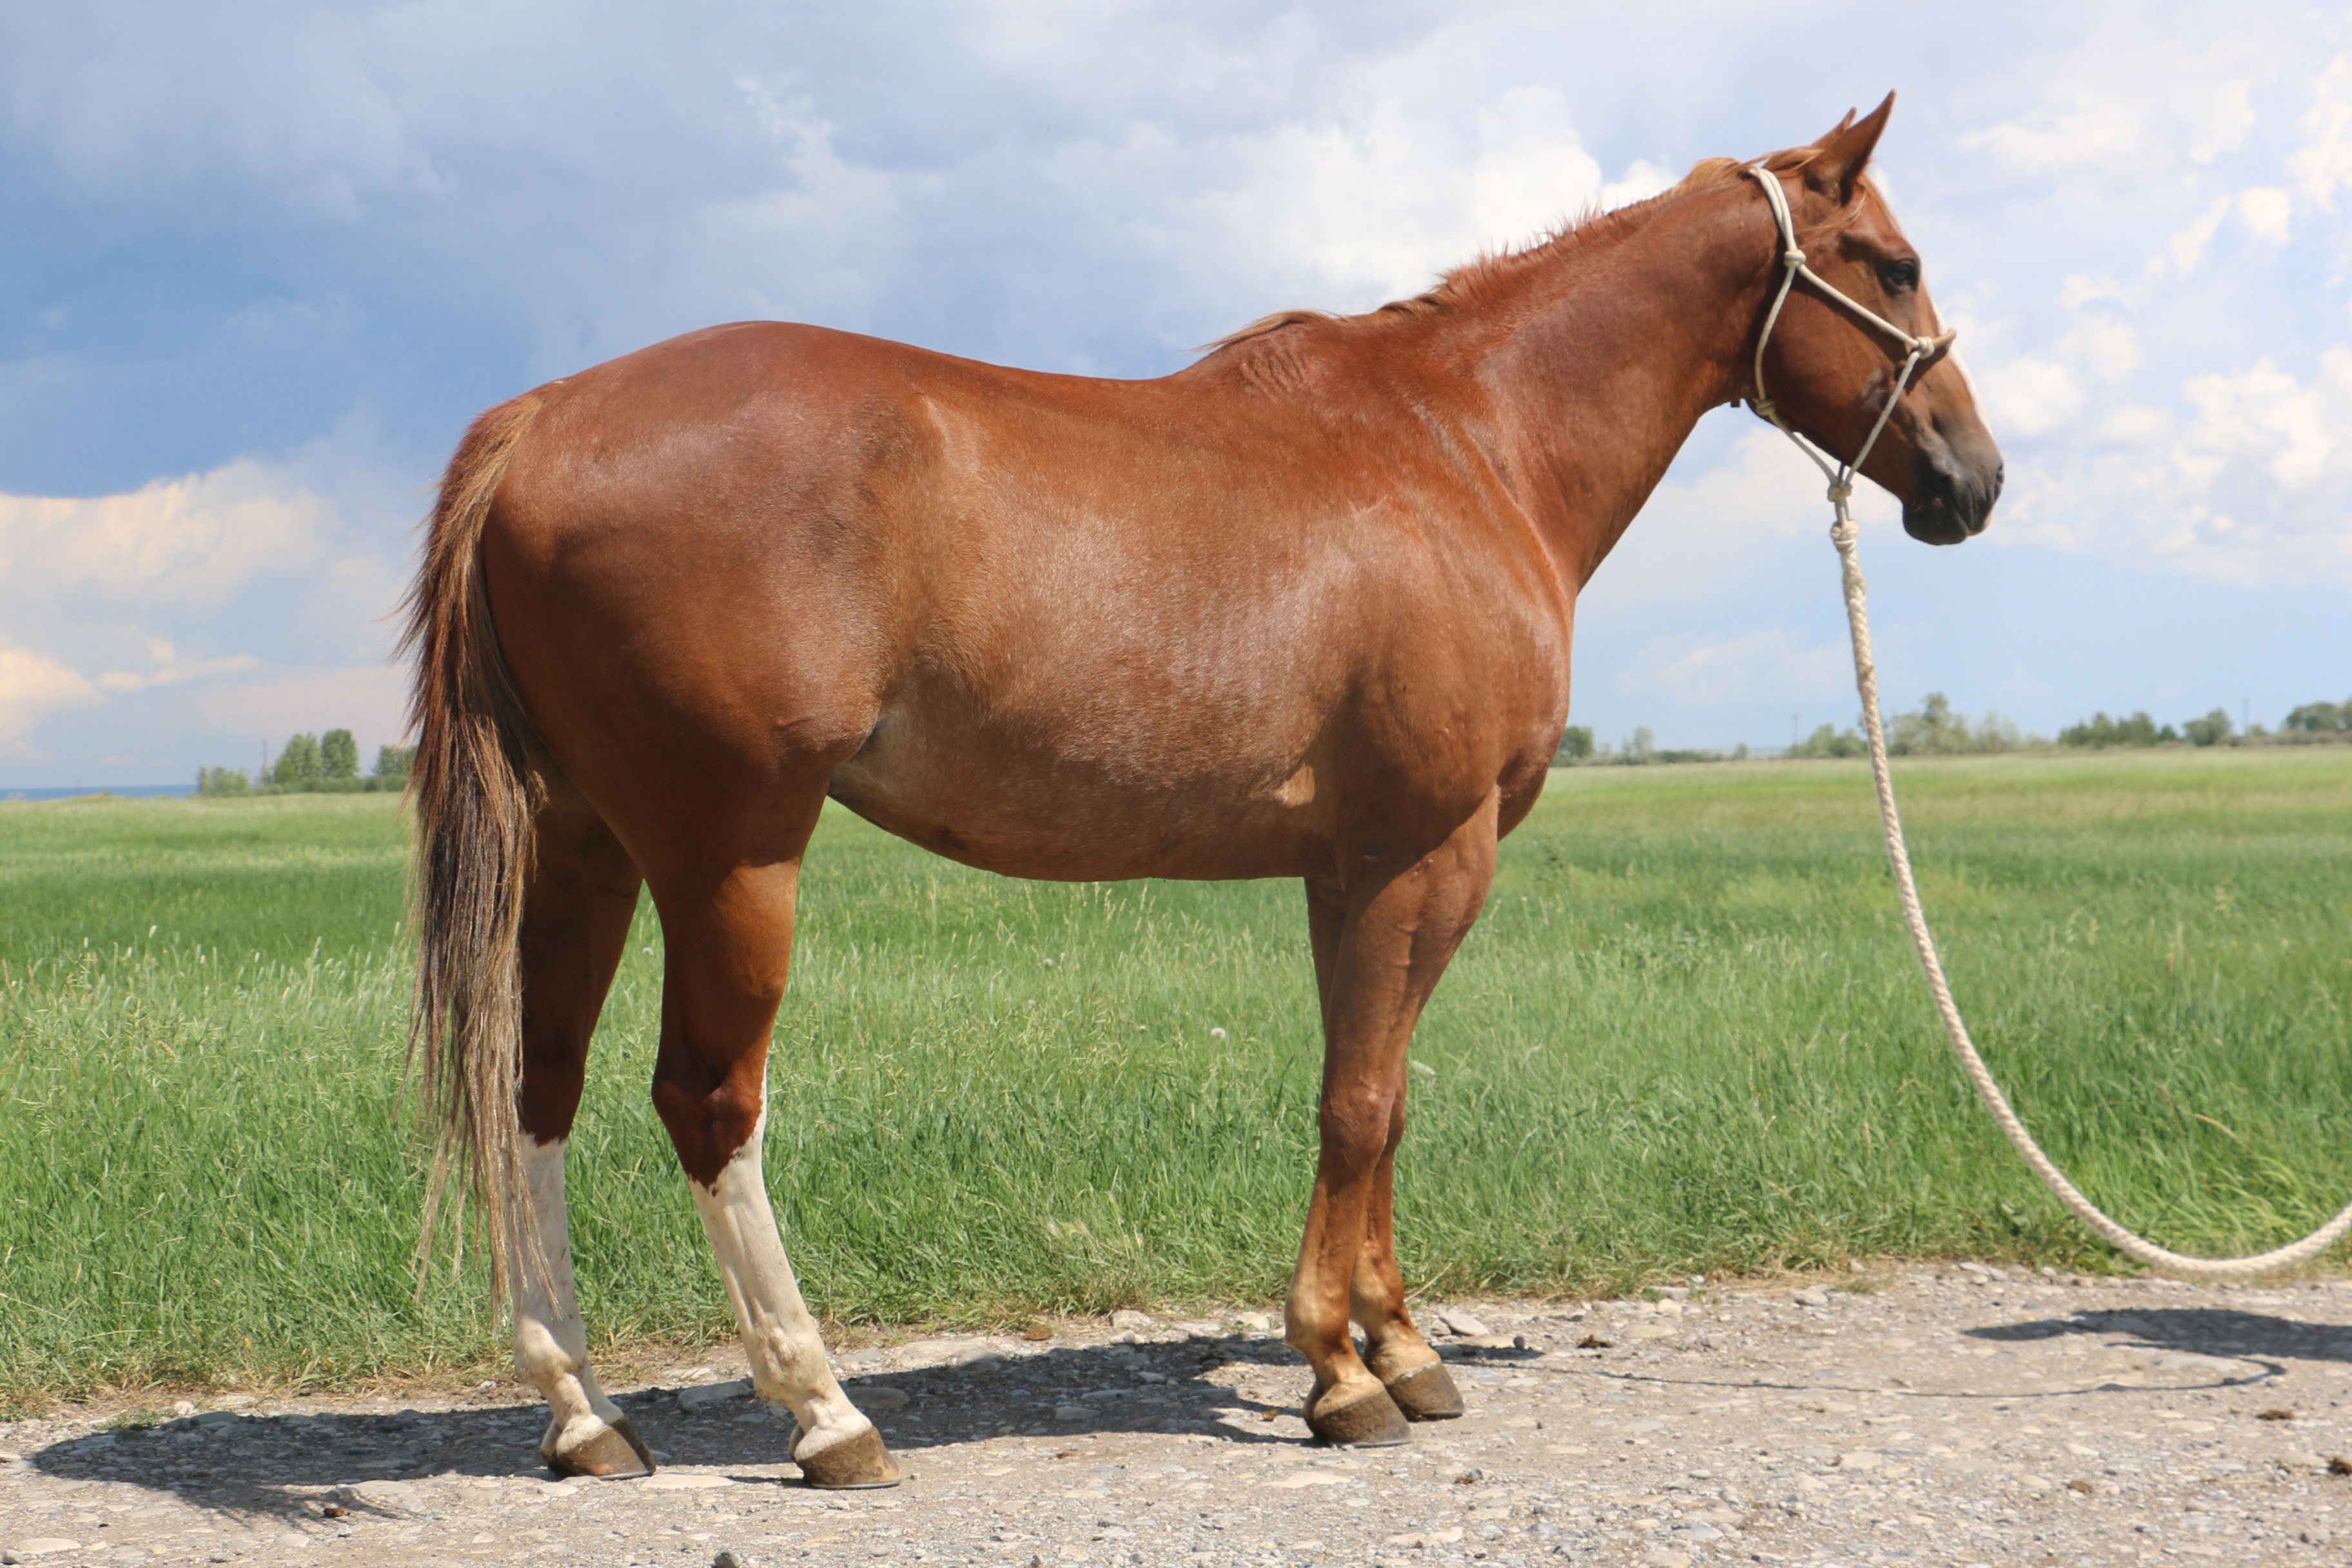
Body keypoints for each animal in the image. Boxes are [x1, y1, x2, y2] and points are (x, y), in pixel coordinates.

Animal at [400, 93, 2001, 1487]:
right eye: (1896, 263)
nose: (1975, 481)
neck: (1464, 443)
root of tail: (542, 418)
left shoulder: (1351, 869)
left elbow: (1378, 1098)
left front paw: (1401, 1345)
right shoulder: (1433, 852)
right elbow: (1361, 1103)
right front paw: (1341, 1374)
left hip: (590, 847)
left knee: (539, 1087)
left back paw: (584, 1409)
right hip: (732, 854)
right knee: (707, 1101)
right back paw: (824, 1410)